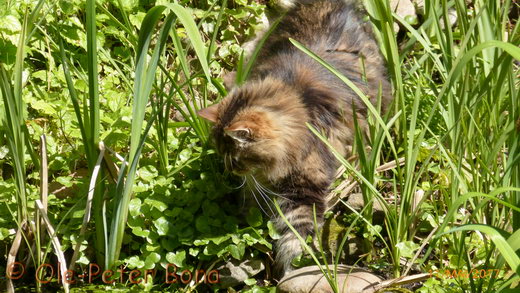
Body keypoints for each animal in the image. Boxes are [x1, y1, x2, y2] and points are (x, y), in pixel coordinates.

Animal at [198, 0, 390, 278]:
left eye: (235, 159)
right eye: (223, 155)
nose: (229, 171)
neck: (298, 103)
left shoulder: (306, 188)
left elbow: (295, 233)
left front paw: (291, 267)